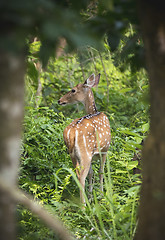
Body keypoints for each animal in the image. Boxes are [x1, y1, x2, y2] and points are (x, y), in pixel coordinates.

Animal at [58, 73, 111, 204]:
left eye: (73, 90)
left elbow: (92, 173)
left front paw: (92, 196)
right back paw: (83, 205)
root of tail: (71, 133)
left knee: (77, 174)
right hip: (85, 152)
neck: (94, 111)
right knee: (81, 176)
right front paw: (101, 195)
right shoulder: (105, 149)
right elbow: (101, 171)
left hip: (73, 154)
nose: (59, 100)